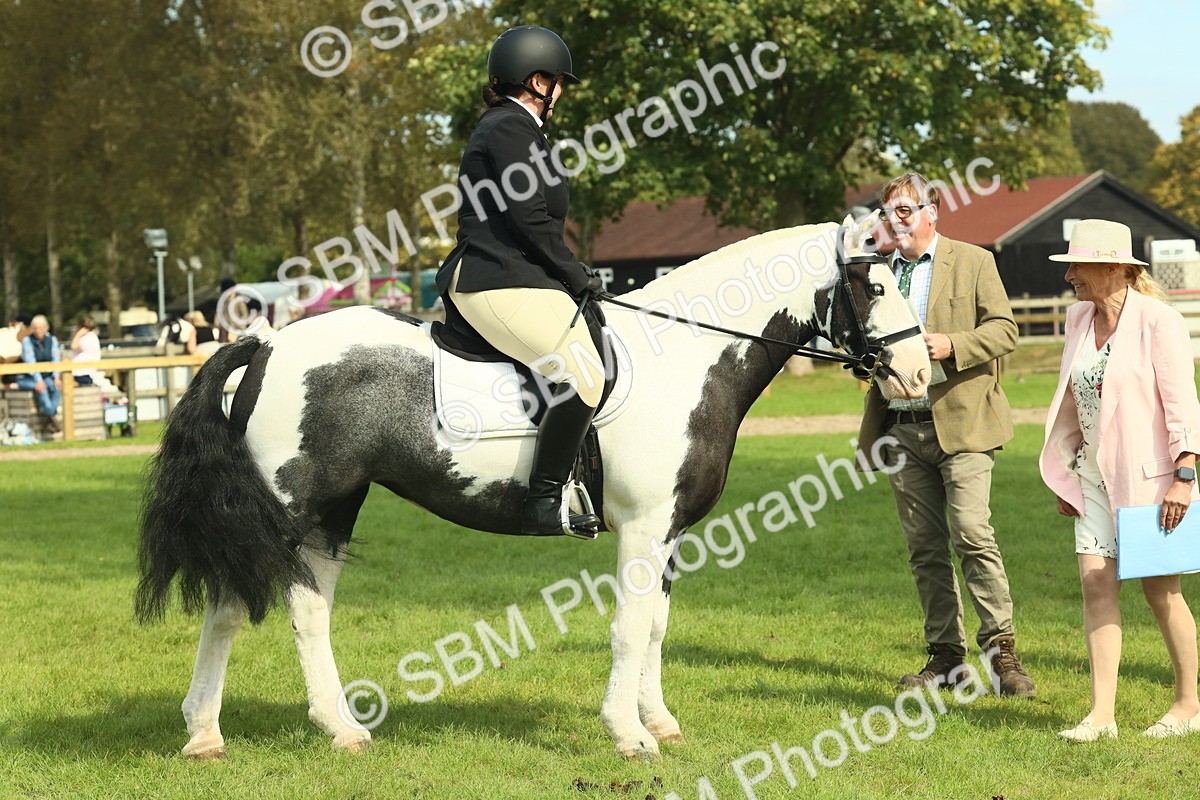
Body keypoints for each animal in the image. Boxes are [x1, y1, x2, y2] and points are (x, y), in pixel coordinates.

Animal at [135, 212, 931, 761]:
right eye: (875, 285)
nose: (922, 372)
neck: (687, 354)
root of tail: (266, 342)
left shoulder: (668, 532)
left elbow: (656, 626)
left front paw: (660, 722)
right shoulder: (643, 528)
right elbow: (629, 627)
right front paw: (628, 735)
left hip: (331, 510)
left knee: (272, 609)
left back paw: (258, 731)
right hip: (288, 508)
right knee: (259, 608)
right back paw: (271, 732)